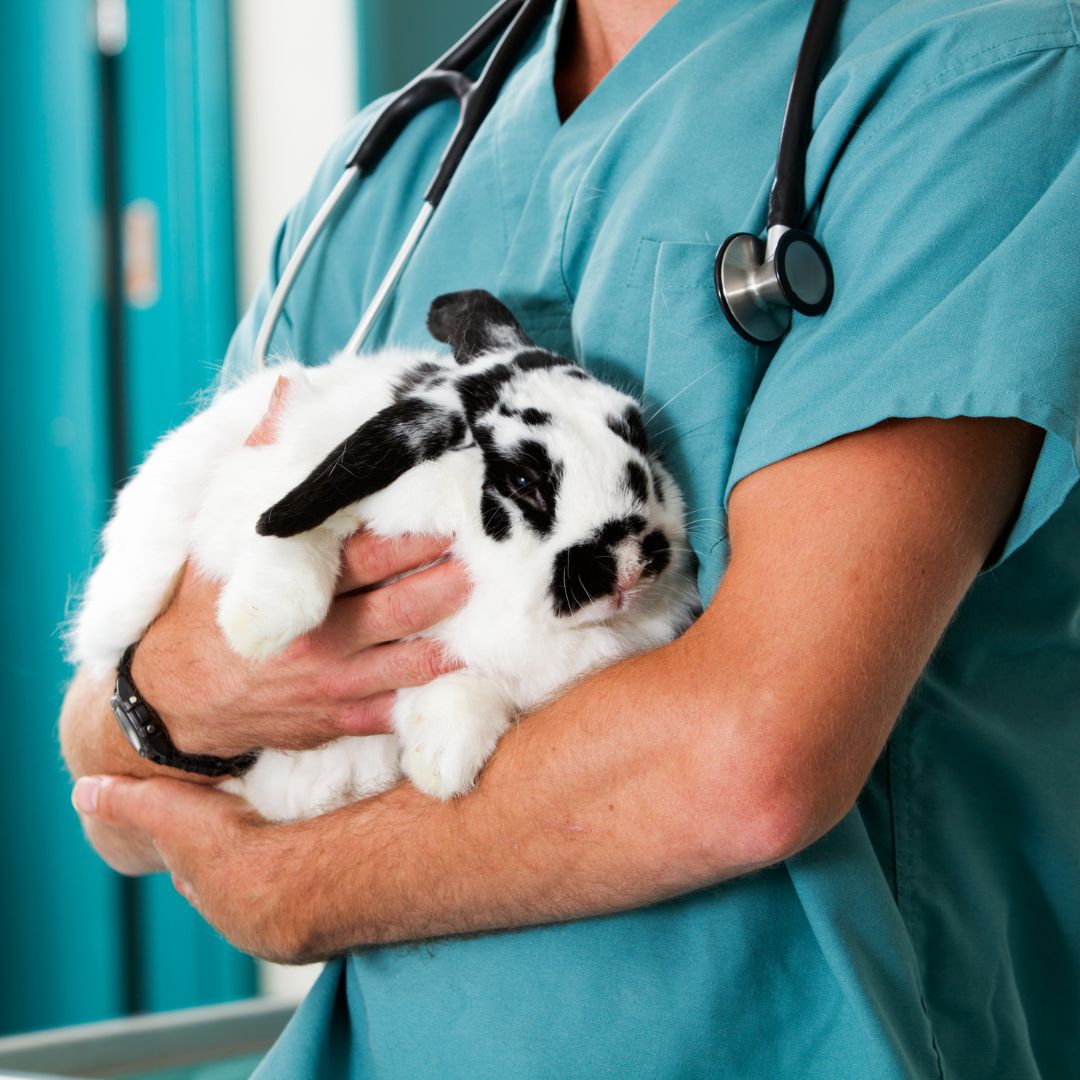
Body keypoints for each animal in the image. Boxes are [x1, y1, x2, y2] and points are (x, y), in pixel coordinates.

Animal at [73, 291, 699, 820]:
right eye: (523, 480)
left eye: (639, 437)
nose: (628, 565)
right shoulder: (261, 490)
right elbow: (295, 536)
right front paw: (260, 626)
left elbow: (462, 683)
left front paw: (442, 762)